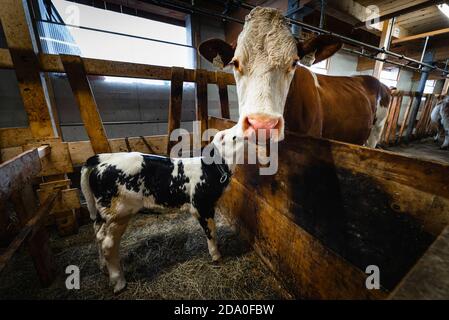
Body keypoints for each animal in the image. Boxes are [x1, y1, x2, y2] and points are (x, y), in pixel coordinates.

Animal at [79, 127, 243, 292]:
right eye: (232, 136)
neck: (210, 169)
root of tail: (103, 161)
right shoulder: (202, 206)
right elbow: (211, 233)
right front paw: (217, 256)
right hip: (119, 213)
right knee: (108, 245)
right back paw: (119, 282)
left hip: (104, 212)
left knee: (99, 235)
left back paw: (103, 268)